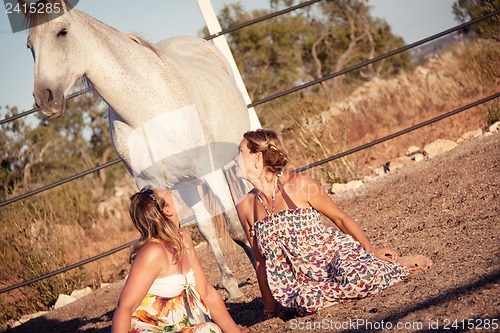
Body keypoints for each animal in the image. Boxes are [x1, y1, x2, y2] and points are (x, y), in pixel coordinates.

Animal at [20, 0, 254, 296]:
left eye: (62, 32)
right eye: (29, 44)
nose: (45, 98)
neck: (147, 109)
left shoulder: (209, 171)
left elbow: (236, 228)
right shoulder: (158, 185)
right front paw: (226, 289)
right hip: (188, 184)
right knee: (207, 226)